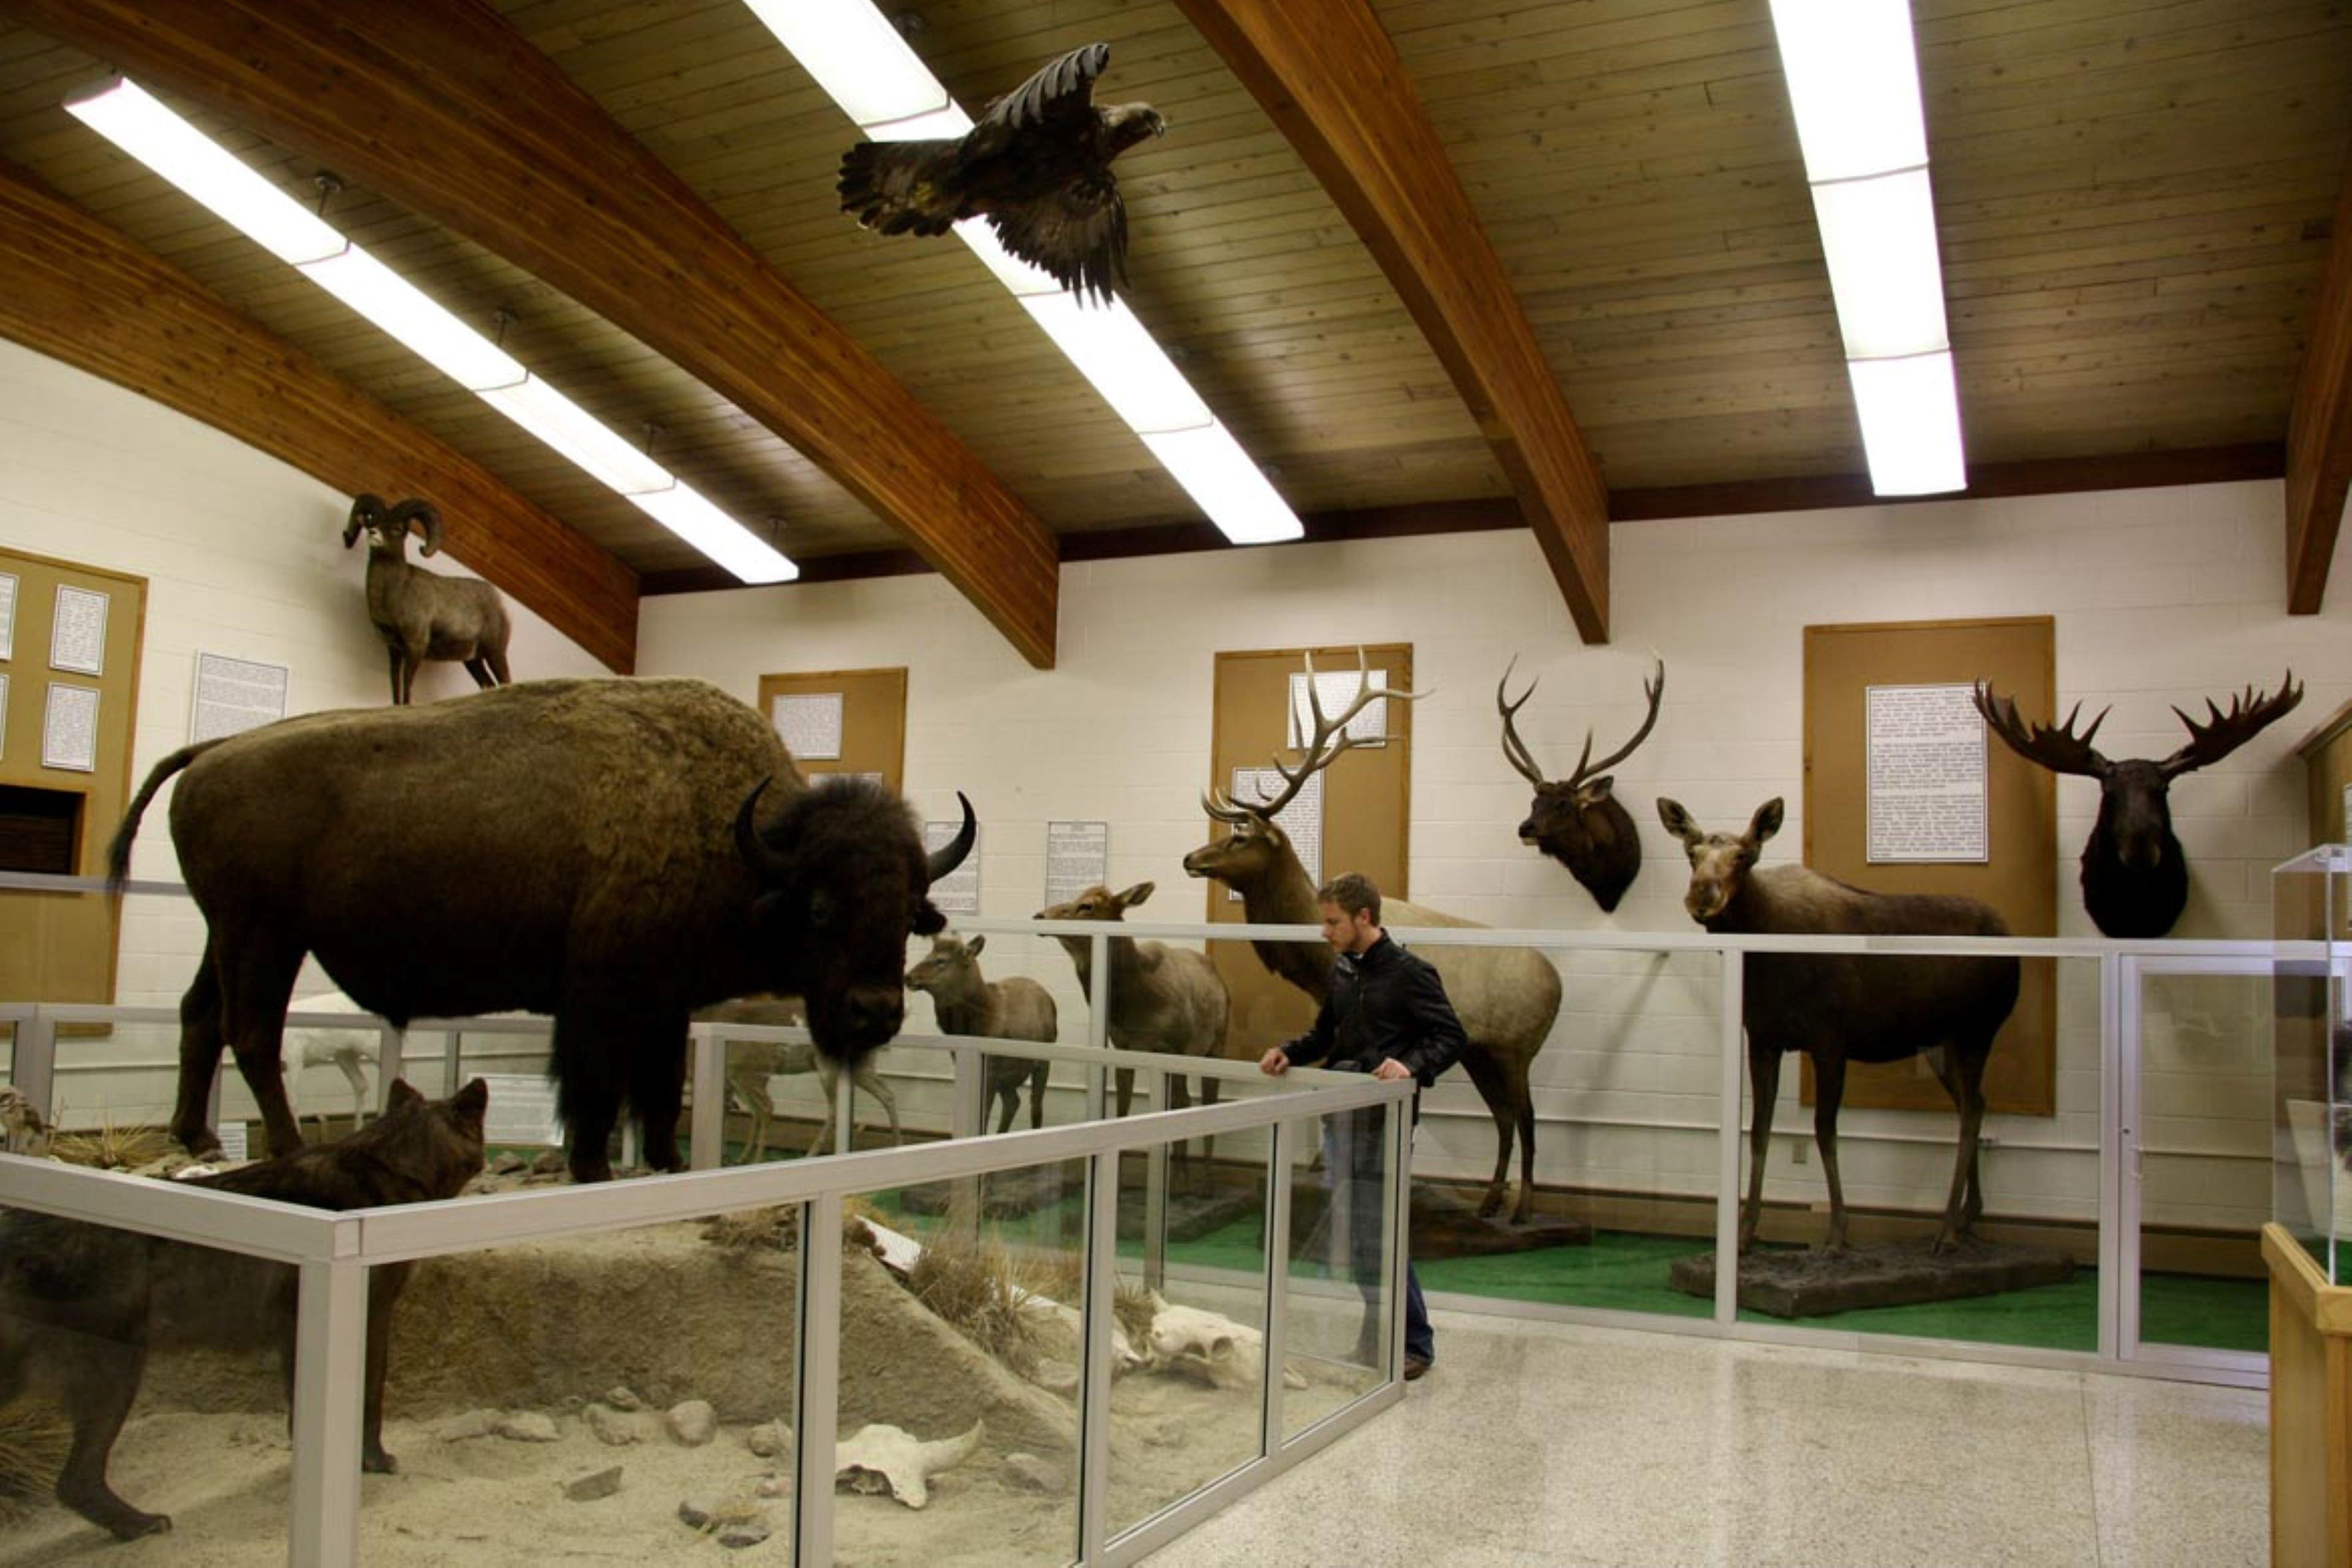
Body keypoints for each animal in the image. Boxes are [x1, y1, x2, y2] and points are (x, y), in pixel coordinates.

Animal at [108, 682, 973, 1185]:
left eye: (910, 911)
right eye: (820, 906)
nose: (875, 1012)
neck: (738, 838)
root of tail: (213, 751)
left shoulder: (665, 1005)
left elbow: (660, 1090)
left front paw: (668, 1166)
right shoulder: (598, 998)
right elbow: (595, 1090)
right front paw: (591, 1169)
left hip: (226, 932)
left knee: (199, 1016)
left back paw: (198, 1141)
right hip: (263, 933)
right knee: (251, 1030)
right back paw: (287, 1152)